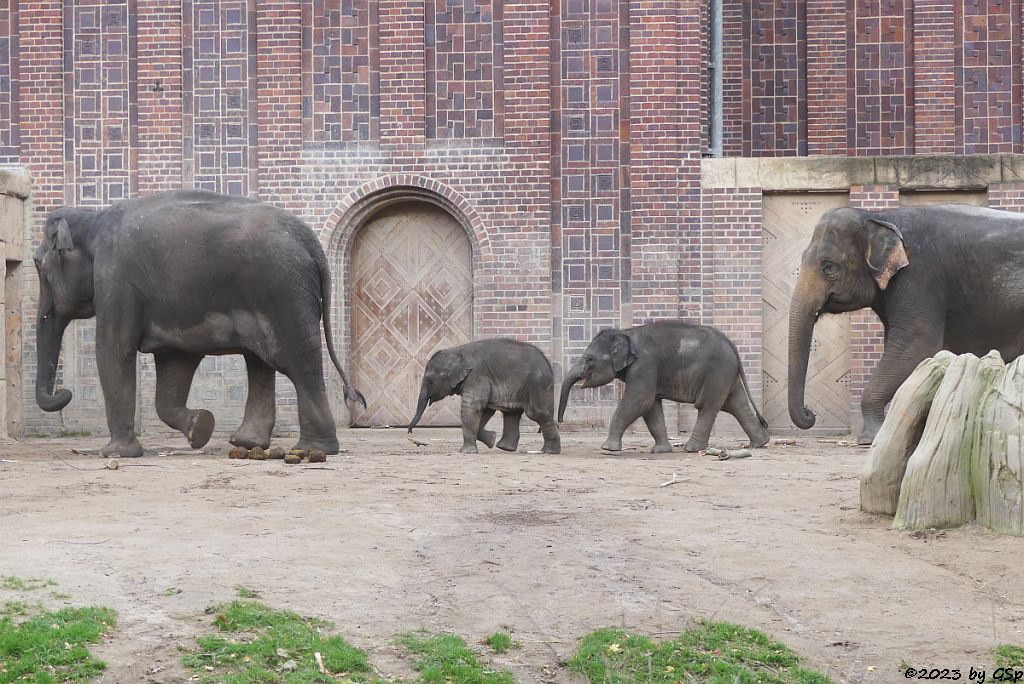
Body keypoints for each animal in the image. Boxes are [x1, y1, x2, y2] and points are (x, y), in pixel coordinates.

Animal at [34, 187, 366, 456]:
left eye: (38, 265)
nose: (64, 393)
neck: (93, 219)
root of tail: (312, 243)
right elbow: (174, 363)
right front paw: (200, 428)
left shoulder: (116, 278)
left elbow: (114, 349)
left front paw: (115, 454)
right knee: (261, 361)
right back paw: (249, 444)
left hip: (284, 291)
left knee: (297, 362)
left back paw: (311, 450)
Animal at [405, 339, 561, 456]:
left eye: (430, 380)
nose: (410, 432)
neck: (456, 351)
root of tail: (548, 363)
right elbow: (484, 409)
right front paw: (491, 439)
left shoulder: (476, 375)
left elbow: (472, 406)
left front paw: (465, 452)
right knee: (512, 413)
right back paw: (505, 447)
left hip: (537, 384)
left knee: (538, 414)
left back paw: (549, 451)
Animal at [561, 321, 770, 454]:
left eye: (589, 358)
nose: (560, 421)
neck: (626, 332)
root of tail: (732, 345)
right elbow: (651, 406)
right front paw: (660, 451)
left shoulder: (644, 365)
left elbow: (639, 400)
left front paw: (607, 449)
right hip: (726, 374)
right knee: (736, 404)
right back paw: (760, 443)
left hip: (717, 372)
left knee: (707, 407)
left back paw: (691, 449)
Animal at [786, 205, 1024, 446]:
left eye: (828, 267)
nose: (810, 414)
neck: (881, 216)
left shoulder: (919, 278)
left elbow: (916, 345)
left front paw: (869, 439)